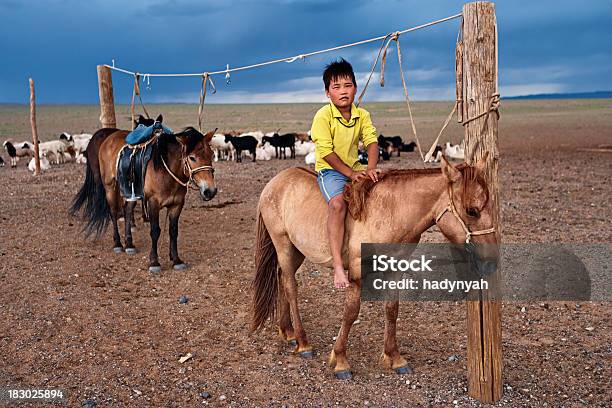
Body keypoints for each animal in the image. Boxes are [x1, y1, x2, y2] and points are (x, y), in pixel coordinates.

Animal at [72, 126, 216, 272]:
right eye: (192, 157)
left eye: (211, 154)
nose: (210, 191)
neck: (166, 171)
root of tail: (108, 138)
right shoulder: (153, 203)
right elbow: (155, 231)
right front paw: (154, 262)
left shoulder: (177, 204)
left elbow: (173, 231)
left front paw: (176, 260)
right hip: (110, 187)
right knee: (113, 212)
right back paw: (118, 244)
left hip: (131, 193)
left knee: (127, 211)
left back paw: (129, 244)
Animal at [252, 154, 498, 380]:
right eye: (472, 210)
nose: (492, 261)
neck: (390, 212)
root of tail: (276, 181)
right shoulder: (357, 273)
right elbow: (351, 313)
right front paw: (340, 360)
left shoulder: (394, 269)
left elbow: (391, 310)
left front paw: (395, 357)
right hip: (283, 244)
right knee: (291, 287)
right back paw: (303, 342)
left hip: (297, 251)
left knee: (282, 279)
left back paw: (288, 332)